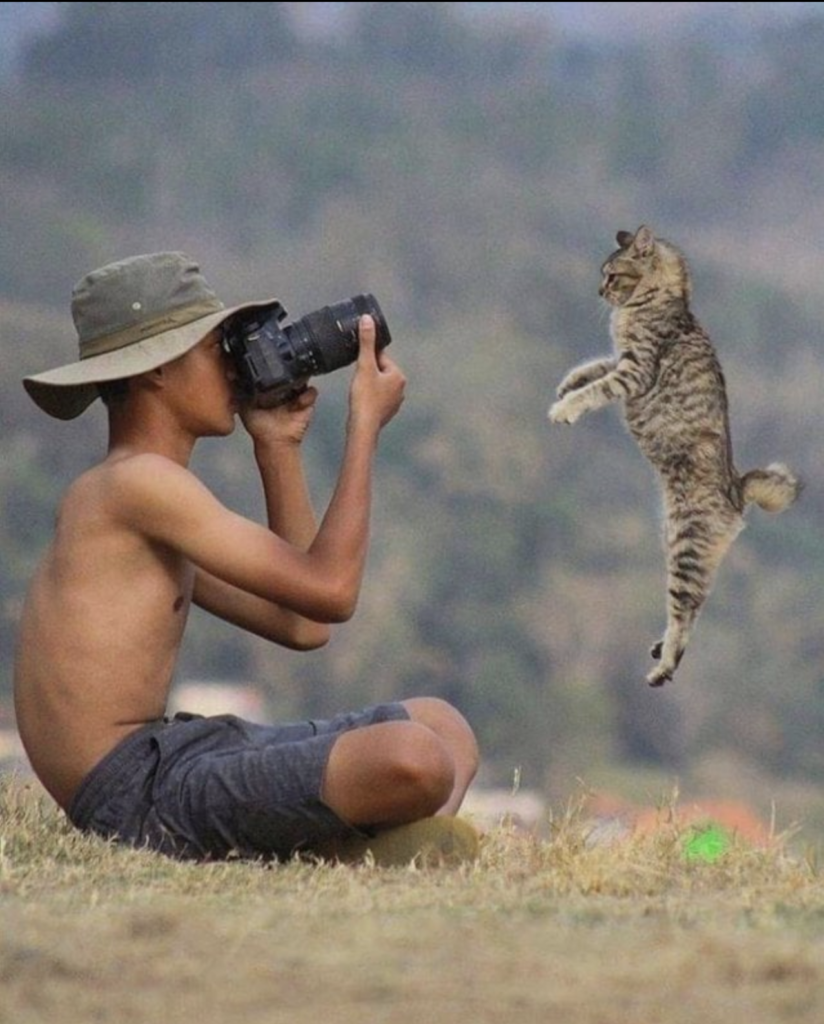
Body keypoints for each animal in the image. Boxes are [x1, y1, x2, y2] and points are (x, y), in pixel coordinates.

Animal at [544, 225, 798, 688]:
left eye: (611, 274)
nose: (599, 290)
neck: (661, 298)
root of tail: (738, 491)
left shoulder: (635, 369)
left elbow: (596, 387)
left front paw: (565, 408)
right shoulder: (621, 360)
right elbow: (593, 367)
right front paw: (567, 384)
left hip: (685, 548)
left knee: (685, 616)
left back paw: (662, 668)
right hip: (676, 544)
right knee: (693, 608)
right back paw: (661, 650)